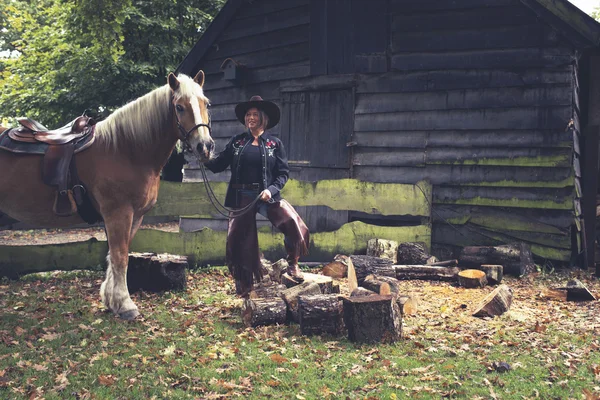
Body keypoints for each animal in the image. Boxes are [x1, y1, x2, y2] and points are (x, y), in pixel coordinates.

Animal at [0, 69, 214, 318]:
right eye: (179, 107)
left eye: (206, 103)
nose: (205, 146)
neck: (124, 149)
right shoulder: (118, 213)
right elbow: (120, 257)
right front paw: (126, 304)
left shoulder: (134, 216)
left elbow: (115, 255)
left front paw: (111, 300)